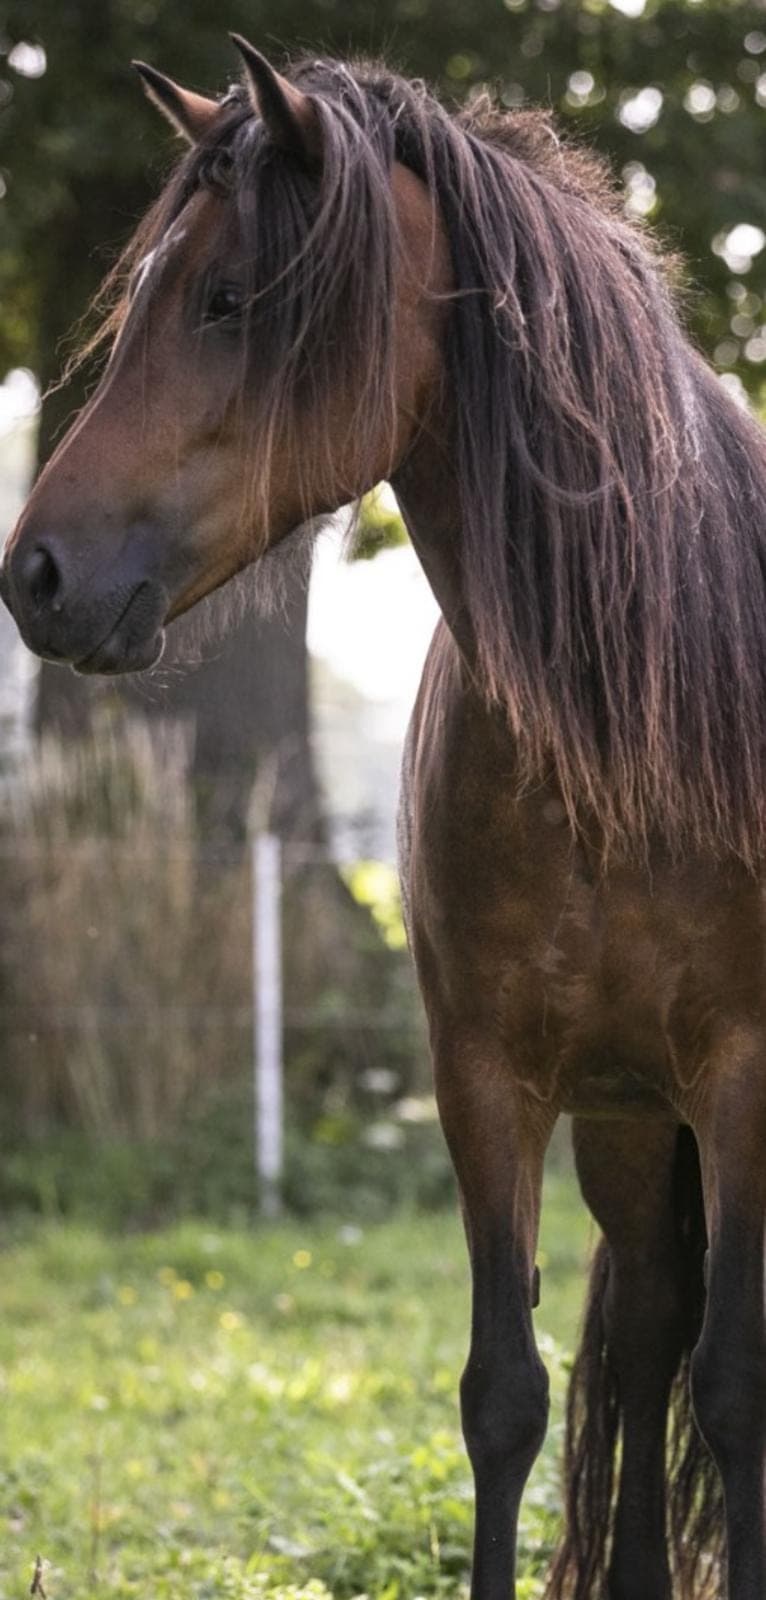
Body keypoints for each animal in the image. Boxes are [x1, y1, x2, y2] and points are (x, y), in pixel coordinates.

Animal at [2, 39, 764, 1600]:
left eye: (228, 298)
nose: (34, 575)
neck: (631, 740)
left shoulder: (741, 1075)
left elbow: (733, 1391)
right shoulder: (487, 1078)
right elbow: (507, 1395)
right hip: (625, 1123)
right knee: (646, 1327)